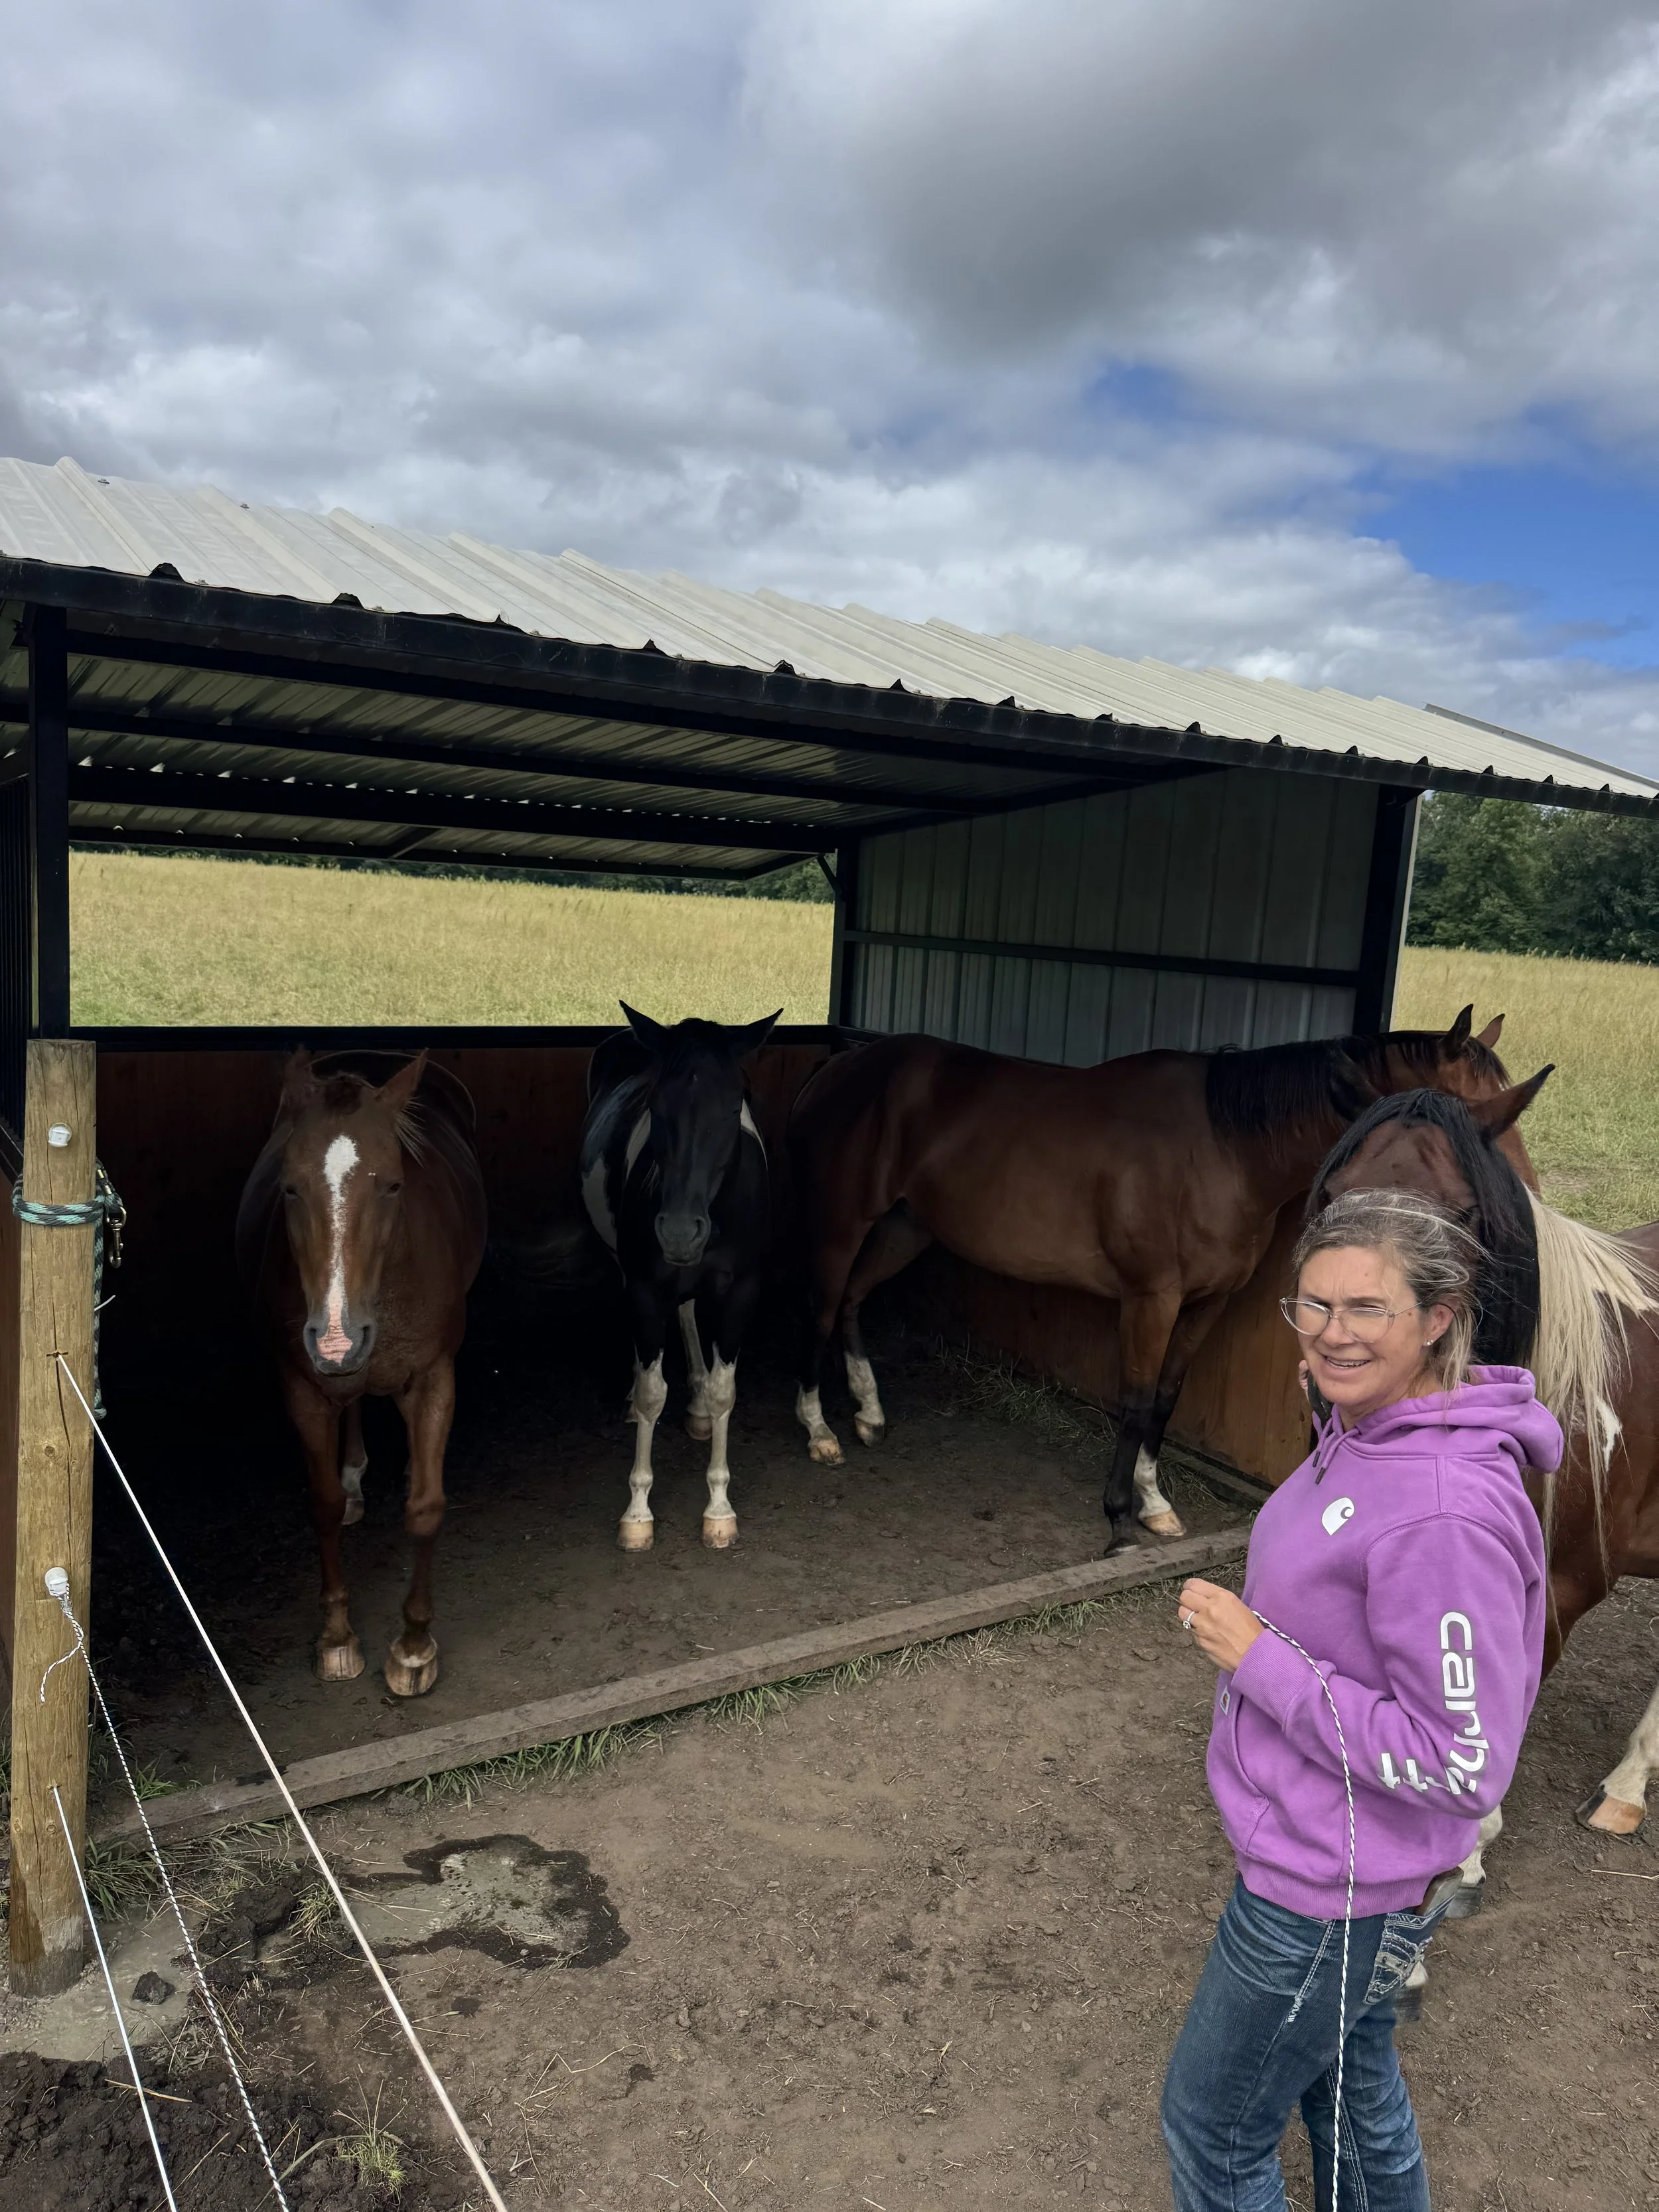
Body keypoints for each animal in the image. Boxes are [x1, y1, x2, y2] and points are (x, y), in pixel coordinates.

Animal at [236, 1049, 487, 1696]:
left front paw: (415, 1648)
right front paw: (337, 1638)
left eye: (393, 1184)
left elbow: (425, 1509)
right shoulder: (302, 1385)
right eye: (290, 1187)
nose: (337, 1337)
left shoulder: (433, 1379)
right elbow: (321, 1505)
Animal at [579, 1005, 779, 1552]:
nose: (680, 1231)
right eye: (654, 1105)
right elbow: (653, 1392)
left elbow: (725, 1389)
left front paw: (719, 1508)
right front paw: (638, 1512)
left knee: (688, 1314)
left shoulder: (742, 1292)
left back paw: (698, 1407)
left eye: (732, 1109)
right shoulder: (646, 1289)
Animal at [788, 1006, 1522, 1553]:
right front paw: (1118, 1518)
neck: (1224, 1149)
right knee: (822, 1308)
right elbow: (1138, 1399)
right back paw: (820, 1431)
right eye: (1467, 1120)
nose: (1517, 1211)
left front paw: (1153, 1501)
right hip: (841, 1225)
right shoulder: (1150, 1299)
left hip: (906, 1227)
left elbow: (1167, 1397)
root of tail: (844, 1064)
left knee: (852, 1302)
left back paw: (869, 1413)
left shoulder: (1206, 1302)